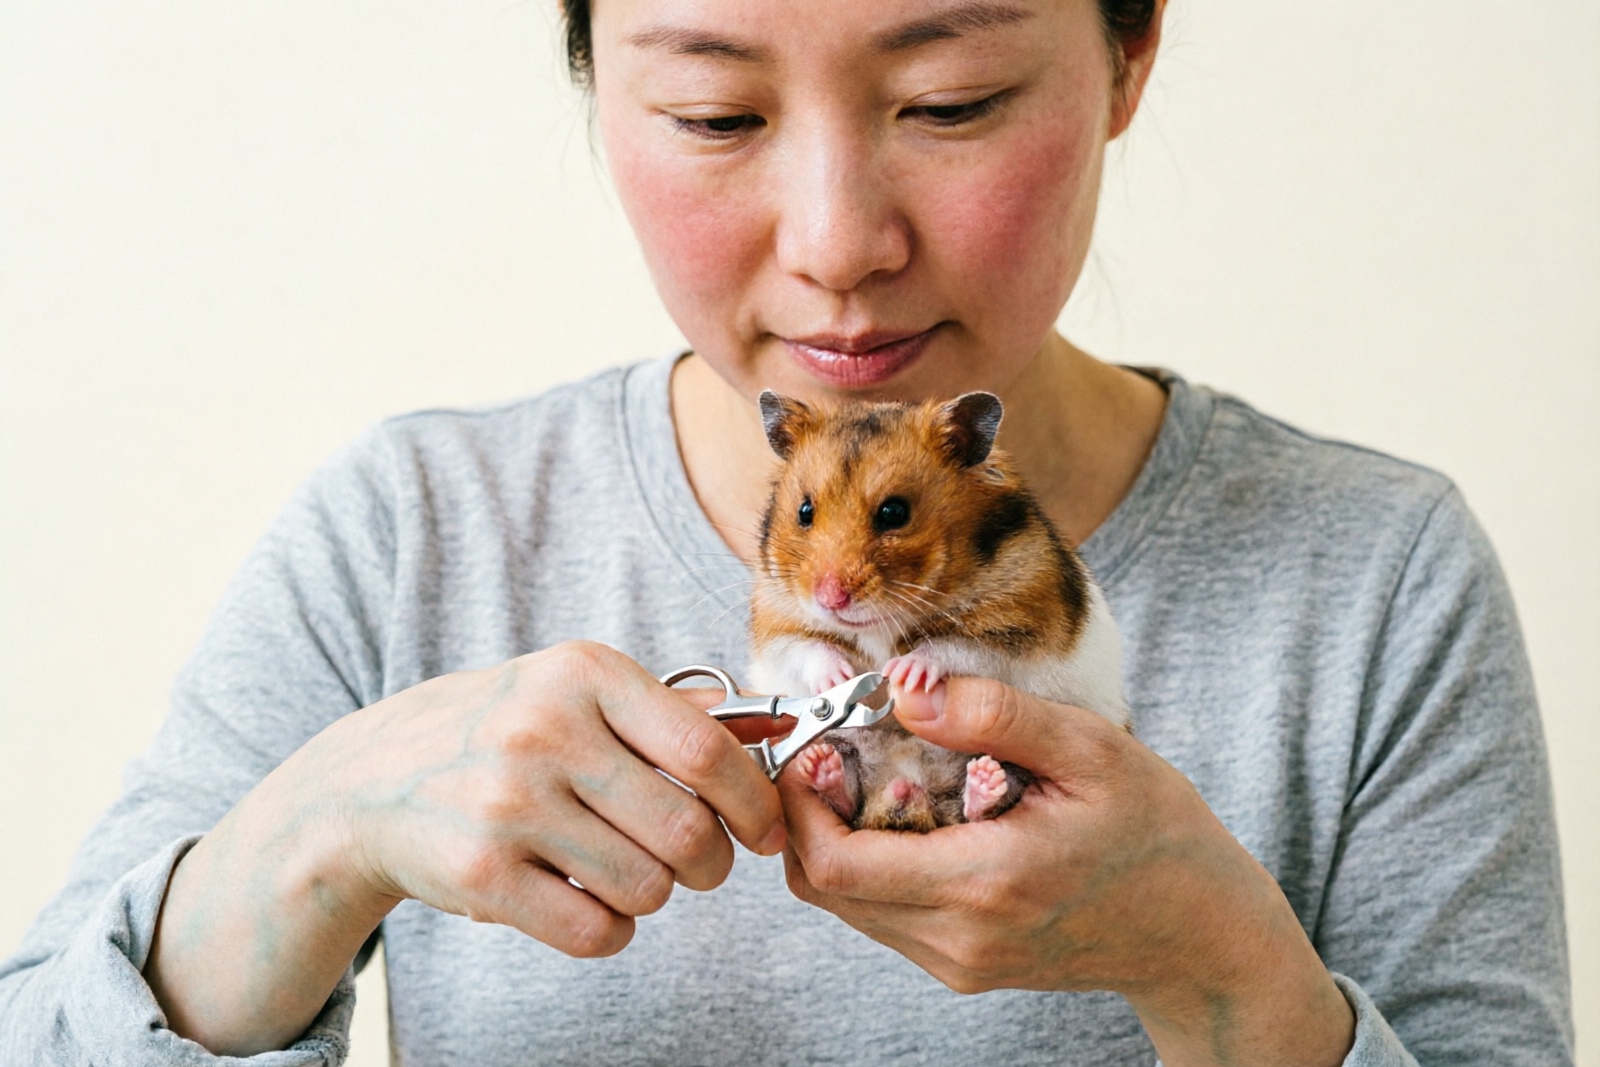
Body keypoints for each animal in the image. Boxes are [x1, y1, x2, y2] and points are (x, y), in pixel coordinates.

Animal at [746, 389, 1131, 832]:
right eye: (804, 511)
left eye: (894, 512)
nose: (830, 599)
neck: (882, 623)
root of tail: (905, 790)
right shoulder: (776, 618)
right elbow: (805, 648)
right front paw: (840, 677)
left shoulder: (1021, 626)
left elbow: (957, 648)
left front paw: (902, 673)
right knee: (847, 795)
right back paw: (820, 765)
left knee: (986, 800)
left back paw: (985, 783)